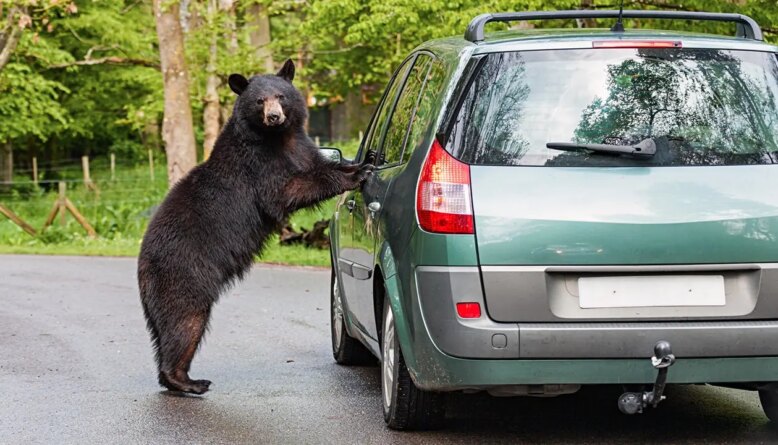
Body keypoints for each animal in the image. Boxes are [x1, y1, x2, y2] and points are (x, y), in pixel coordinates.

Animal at [137, 59, 372, 395]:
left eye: (281, 96)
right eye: (260, 100)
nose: (274, 116)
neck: (277, 138)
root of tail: (142, 264)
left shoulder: (301, 147)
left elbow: (317, 164)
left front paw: (357, 164)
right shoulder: (258, 165)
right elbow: (286, 190)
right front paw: (356, 174)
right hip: (183, 273)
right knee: (184, 321)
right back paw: (187, 380)